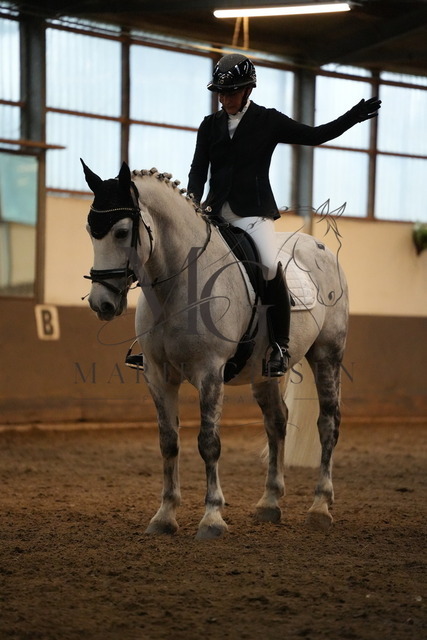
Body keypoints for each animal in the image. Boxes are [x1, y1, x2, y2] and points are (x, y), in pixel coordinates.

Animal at [81, 160, 349, 539]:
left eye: (120, 232)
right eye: (91, 231)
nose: (101, 303)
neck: (179, 283)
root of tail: (318, 245)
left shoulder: (210, 372)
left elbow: (209, 442)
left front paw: (211, 518)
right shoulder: (157, 375)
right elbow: (168, 441)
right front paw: (164, 516)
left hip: (327, 354)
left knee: (328, 422)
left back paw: (320, 506)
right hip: (263, 372)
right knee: (276, 422)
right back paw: (269, 503)